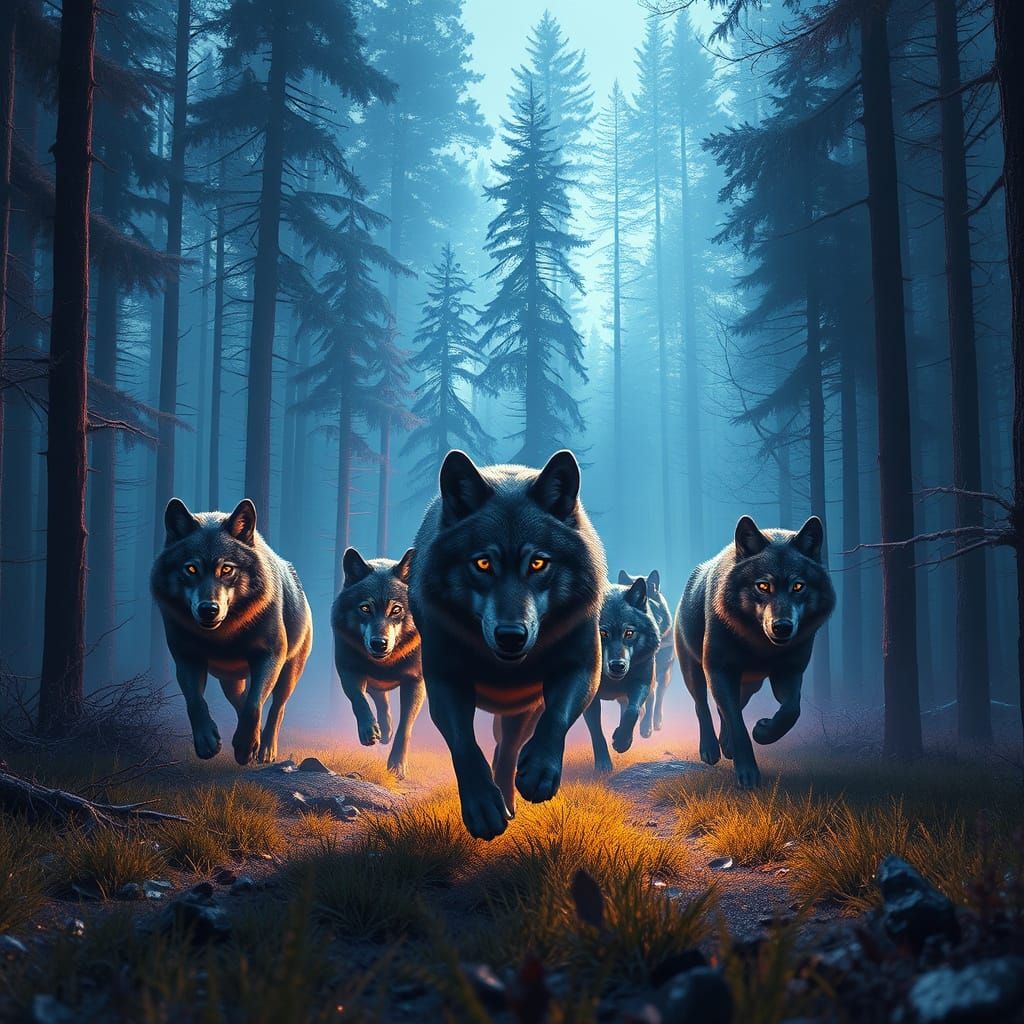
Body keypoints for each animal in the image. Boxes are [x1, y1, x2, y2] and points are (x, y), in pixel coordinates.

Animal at [151, 499, 313, 765]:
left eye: (226, 570)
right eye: (191, 569)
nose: (208, 609)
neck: (223, 635)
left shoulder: (270, 655)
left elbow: (254, 705)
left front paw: (247, 746)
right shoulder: (185, 656)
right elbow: (195, 700)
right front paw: (207, 741)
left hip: (290, 671)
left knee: (276, 707)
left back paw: (265, 749)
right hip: (230, 680)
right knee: (241, 698)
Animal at [331, 547, 424, 779]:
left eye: (396, 610)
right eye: (365, 608)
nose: (379, 643)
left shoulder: (415, 681)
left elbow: (405, 725)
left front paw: (397, 766)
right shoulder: (348, 670)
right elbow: (359, 700)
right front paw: (368, 731)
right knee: (381, 700)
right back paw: (384, 730)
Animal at [409, 450, 607, 840]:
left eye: (538, 563)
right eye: (483, 563)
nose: (511, 635)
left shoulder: (582, 666)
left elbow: (557, 716)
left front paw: (540, 772)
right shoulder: (444, 680)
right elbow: (465, 745)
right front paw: (483, 807)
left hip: (524, 709)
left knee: (509, 746)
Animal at [584, 577, 661, 773]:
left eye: (629, 633)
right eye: (602, 633)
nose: (617, 666)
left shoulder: (640, 682)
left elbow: (633, 710)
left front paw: (621, 742)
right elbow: (596, 730)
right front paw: (603, 764)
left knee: (649, 699)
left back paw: (644, 729)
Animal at [675, 516, 835, 789]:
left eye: (798, 586)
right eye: (763, 586)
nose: (782, 627)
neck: (760, 646)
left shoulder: (790, 672)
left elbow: (791, 710)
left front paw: (762, 731)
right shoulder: (719, 670)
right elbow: (737, 723)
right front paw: (747, 773)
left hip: (750, 686)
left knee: (729, 708)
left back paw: (726, 745)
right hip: (693, 670)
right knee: (702, 705)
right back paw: (710, 749)